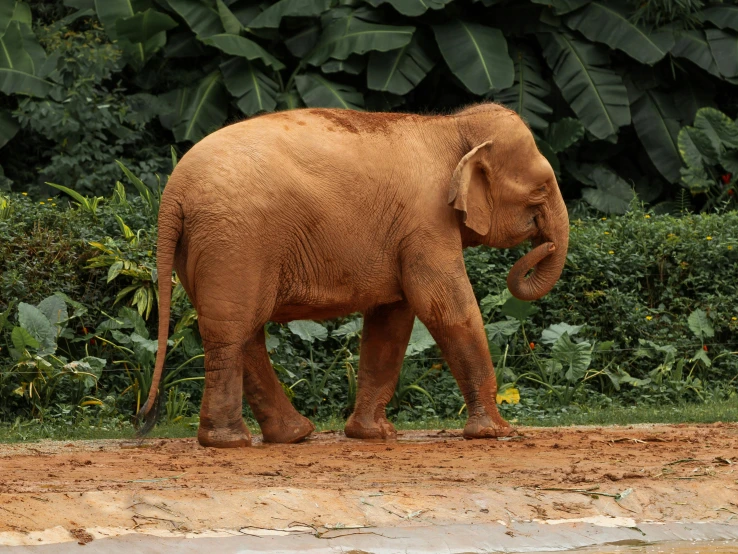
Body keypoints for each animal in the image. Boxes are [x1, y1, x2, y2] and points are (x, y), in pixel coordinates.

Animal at [138, 102, 568, 448]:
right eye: (540, 189)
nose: (545, 245)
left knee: (245, 333)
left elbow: (392, 319)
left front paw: (373, 435)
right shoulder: (426, 222)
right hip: (234, 242)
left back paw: (293, 435)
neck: (453, 127)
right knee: (233, 331)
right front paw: (497, 433)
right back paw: (230, 442)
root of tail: (173, 192)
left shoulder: (404, 232)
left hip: (209, 248)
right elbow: (444, 307)